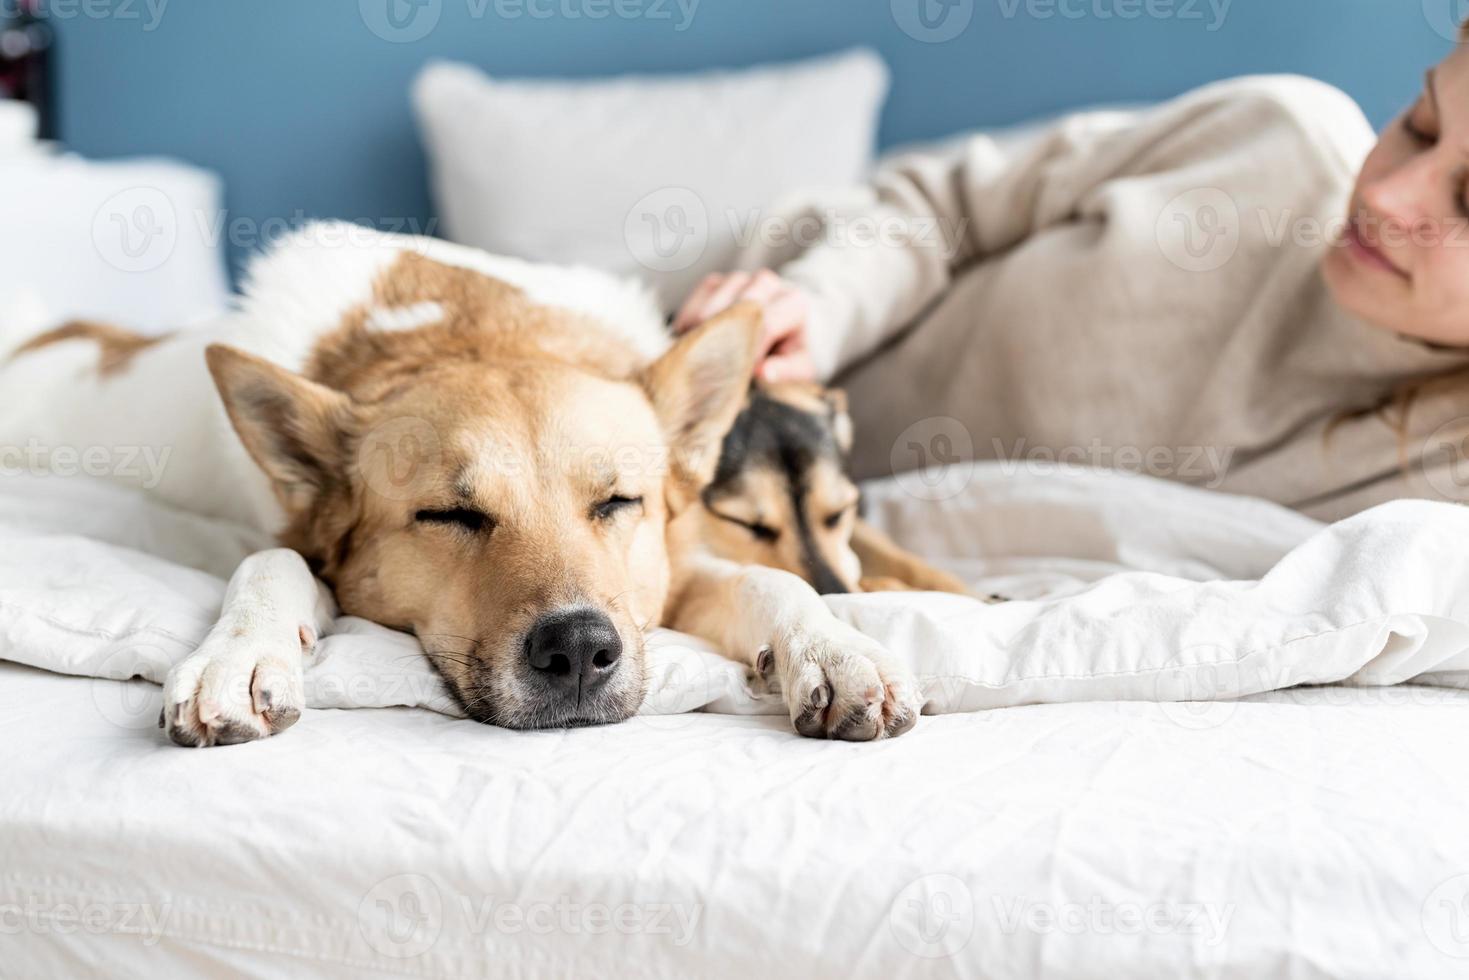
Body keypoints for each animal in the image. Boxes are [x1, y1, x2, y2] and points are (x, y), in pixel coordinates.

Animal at [0, 224, 957, 743]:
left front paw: (836, 648)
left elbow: (774, 581)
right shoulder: (290, 546)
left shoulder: (674, 576)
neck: (467, 334)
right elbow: (269, 564)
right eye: (448, 515)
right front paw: (237, 656)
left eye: (617, 503)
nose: (580, 651)